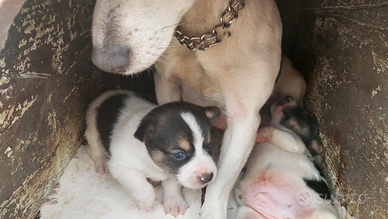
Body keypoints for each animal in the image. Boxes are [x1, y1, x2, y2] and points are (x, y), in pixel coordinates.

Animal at [84, 90, 221, 216]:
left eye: (210, 145)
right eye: (179, 155)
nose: (208, 177)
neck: (151, 161)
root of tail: (109, 93)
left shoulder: (173, 172)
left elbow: (172, 185)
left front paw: (174, 202)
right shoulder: (119, 165)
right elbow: (135, 179)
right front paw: (145, 199)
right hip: (92, 128)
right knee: (95, 148)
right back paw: (102, 163)